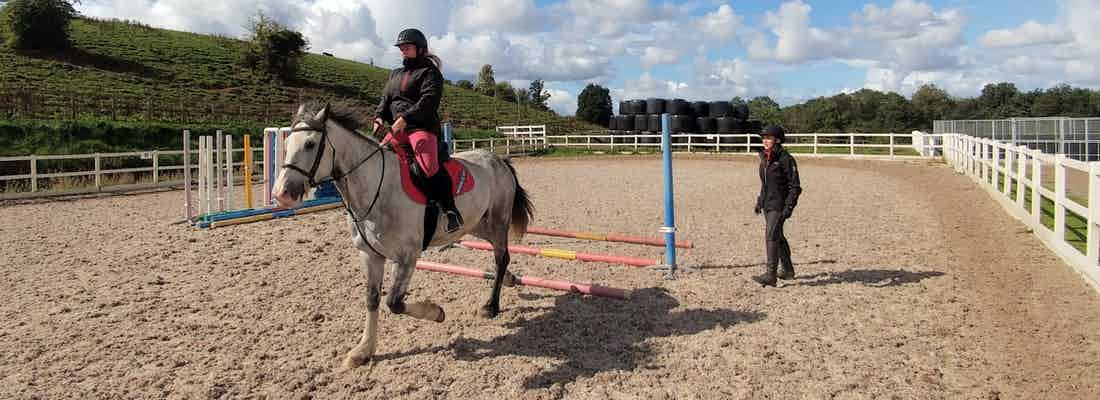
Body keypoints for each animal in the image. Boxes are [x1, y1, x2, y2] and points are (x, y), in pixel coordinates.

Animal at [272, 103, 534, 369]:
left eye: (310, 144)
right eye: (286, 144)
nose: (282, 194)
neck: (376, 189)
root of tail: (499, 160)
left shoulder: (407, 257)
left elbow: (394, 303)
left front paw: (436, 312)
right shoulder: (370, 255)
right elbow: (372, 299)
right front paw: (363, 351)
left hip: (498, 220)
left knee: (501, 256)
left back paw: (491, 306)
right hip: (476, 224)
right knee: (499, 254)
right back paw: (510, 279)